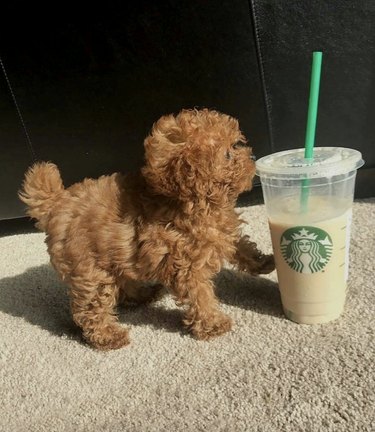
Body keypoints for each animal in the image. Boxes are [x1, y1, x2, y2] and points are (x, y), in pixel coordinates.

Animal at [19, 109, 274, 350]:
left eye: (235, 143)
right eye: (227, 154)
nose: (252, 156)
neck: (189, 202)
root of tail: (57, 203)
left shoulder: (221, 232)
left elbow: (241, 246)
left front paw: (264, 262)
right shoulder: (186, 265)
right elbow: (200, 294)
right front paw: (213, 323)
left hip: (113, 258)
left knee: (123, 282)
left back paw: (144, 295)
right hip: (90, 270)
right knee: (91, 309)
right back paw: (109, 336)